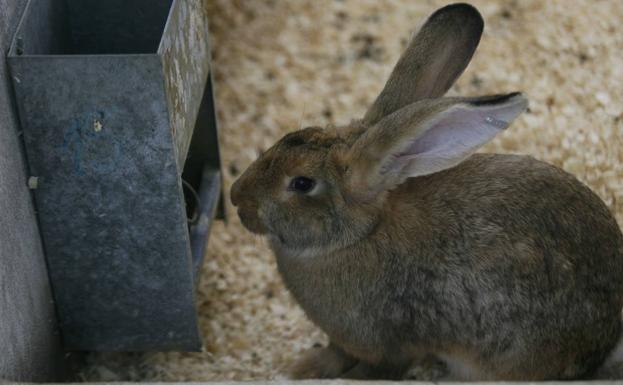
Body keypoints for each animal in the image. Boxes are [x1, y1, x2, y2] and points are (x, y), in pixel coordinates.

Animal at [229, 2, 623, 380]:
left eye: (301, 183)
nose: (236, 198)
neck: (356, 237)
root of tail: (604, 342)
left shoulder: (386, 345)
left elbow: (376, 367)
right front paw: (303, 367)